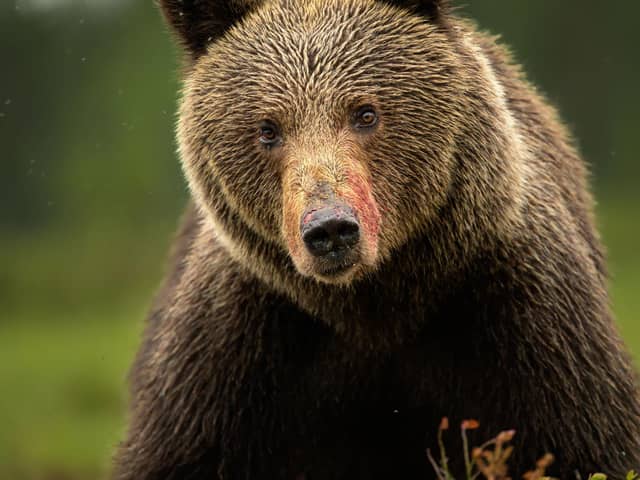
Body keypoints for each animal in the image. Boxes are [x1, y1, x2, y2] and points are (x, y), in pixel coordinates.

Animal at [113, 0, 640, 479]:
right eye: (267, 129)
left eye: (365, 113)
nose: (330, 228)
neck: (375, 305)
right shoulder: (240, 348)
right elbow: (181, 454)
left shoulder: (521, 317)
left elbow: (590, 441)